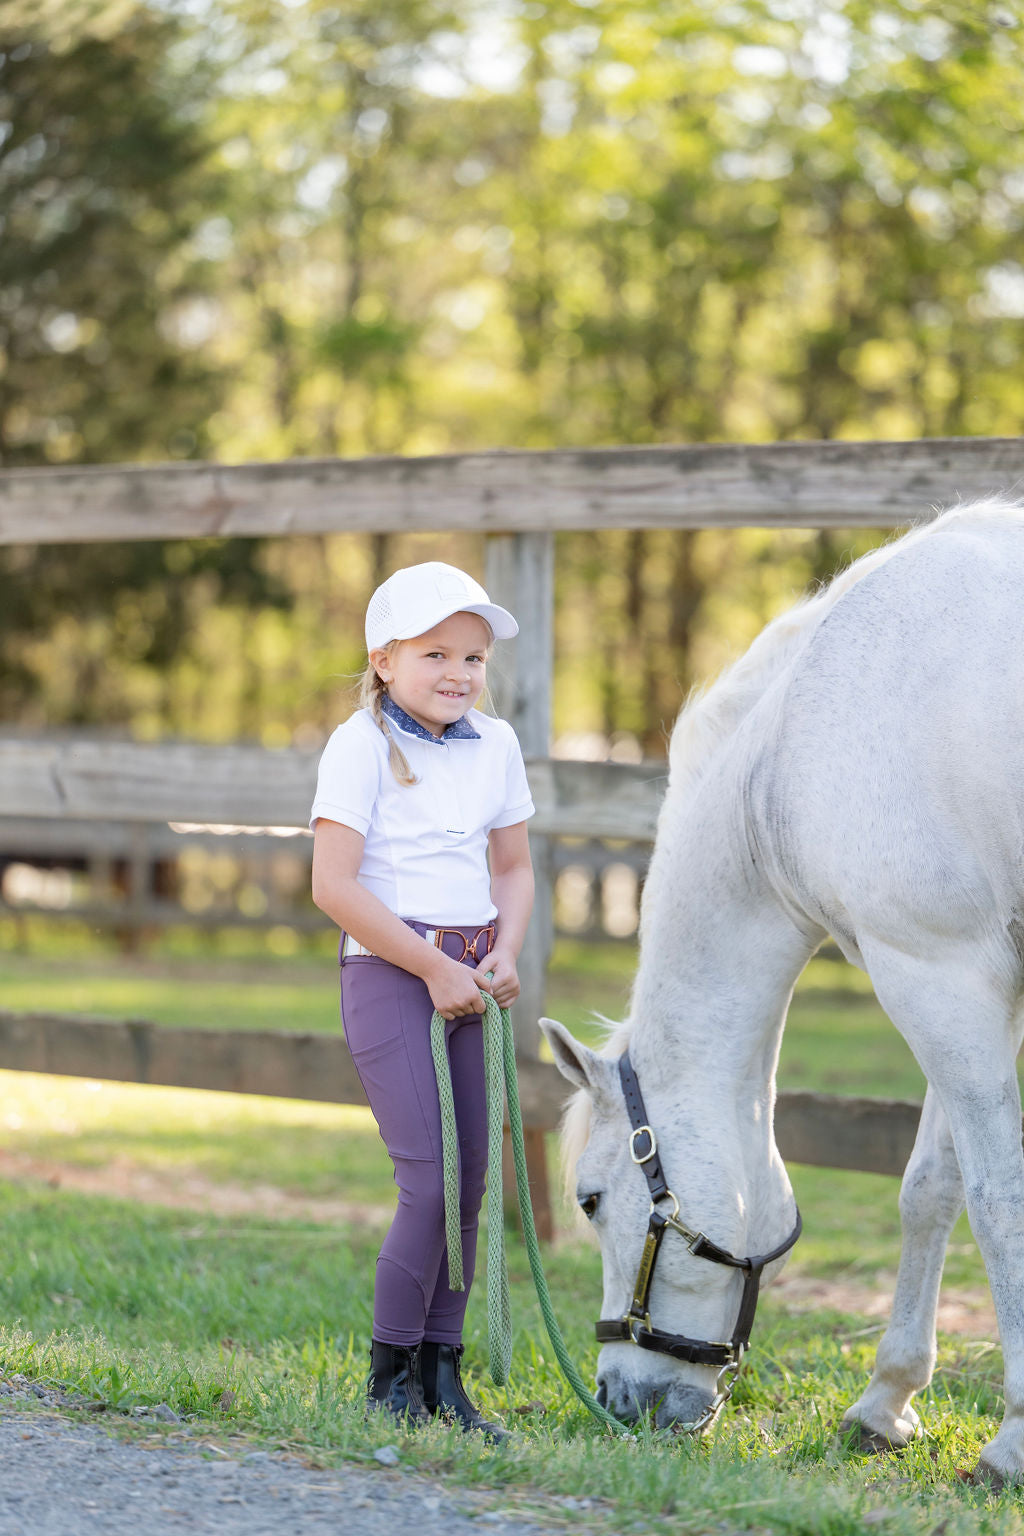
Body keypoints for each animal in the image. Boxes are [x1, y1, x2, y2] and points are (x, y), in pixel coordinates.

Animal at [540, 503, 1024, 1486]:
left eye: (591, 1199)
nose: (619, 1397)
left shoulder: (940, 973)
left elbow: (1000, 1200)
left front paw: (1015, 1441)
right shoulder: (958, 978)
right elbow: (932, 1188)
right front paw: (886, 1401)